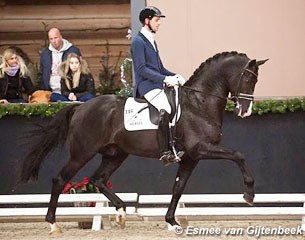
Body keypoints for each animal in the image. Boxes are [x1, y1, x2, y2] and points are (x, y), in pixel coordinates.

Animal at [19, 51, 266, 233]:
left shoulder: (191, 157)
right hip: (82, 153)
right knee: (60, 179)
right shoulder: (202, 149)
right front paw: (249, 195)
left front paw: (172, 222)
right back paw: (53, 224)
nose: (245, 111)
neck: (199, 102)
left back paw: (121, 212)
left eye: (256, 80)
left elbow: (178, 187)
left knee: (98, 179)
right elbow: (238, 155)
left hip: (115, 154)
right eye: (247, 78)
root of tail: (81, 107)